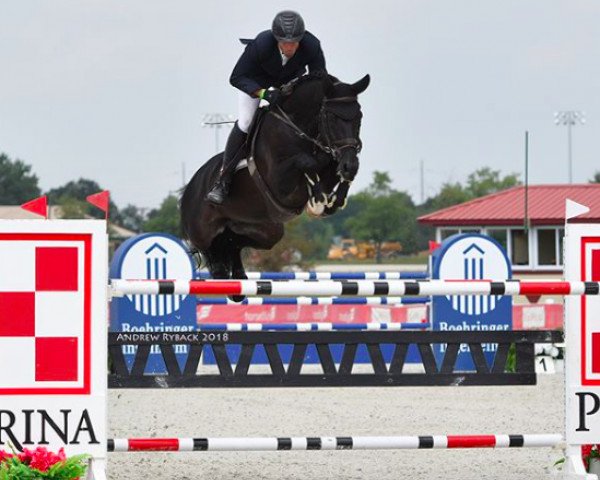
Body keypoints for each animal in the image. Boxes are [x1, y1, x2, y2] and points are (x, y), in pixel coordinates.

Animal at [182, 72, 370, 282]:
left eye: (359, 117)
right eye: (331, 117)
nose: (349, 164)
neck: (298, 127)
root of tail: (189, 188)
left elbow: (331, 169)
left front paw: (336, 196)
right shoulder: (280, 183)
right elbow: (306, 161)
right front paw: (318, 199)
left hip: (267, 230)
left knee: (232, 244)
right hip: (204, 235)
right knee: (216, 260)